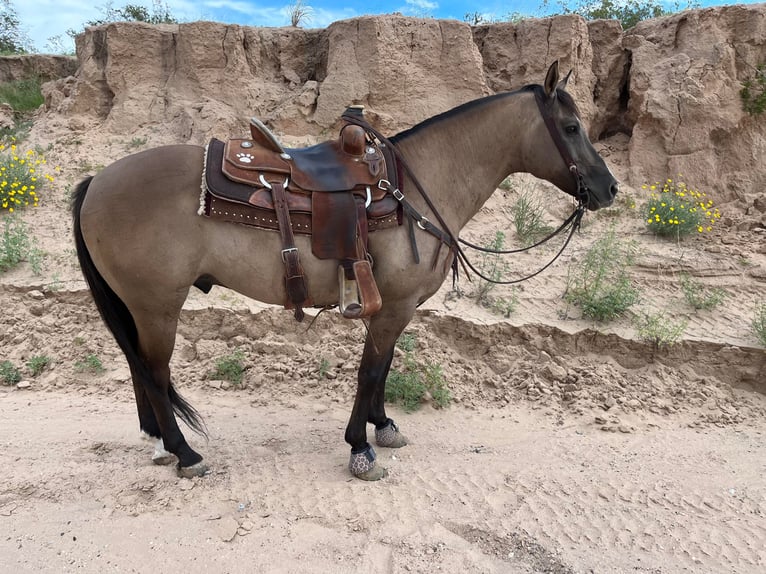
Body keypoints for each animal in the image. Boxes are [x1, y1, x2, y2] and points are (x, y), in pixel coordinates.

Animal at [72, 59, 620, 482]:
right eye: (571, 128)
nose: (609, 188)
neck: (415, 189)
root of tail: (97, 179)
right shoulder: (393, 305)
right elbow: (371, 369)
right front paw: (360, 447)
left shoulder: (396, 308)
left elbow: (384, 365)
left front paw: (384, 425)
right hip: (157, 305)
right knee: (155, 371)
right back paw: (185, 453)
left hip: (139, 306)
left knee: (138, 366)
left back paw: (159, 443)